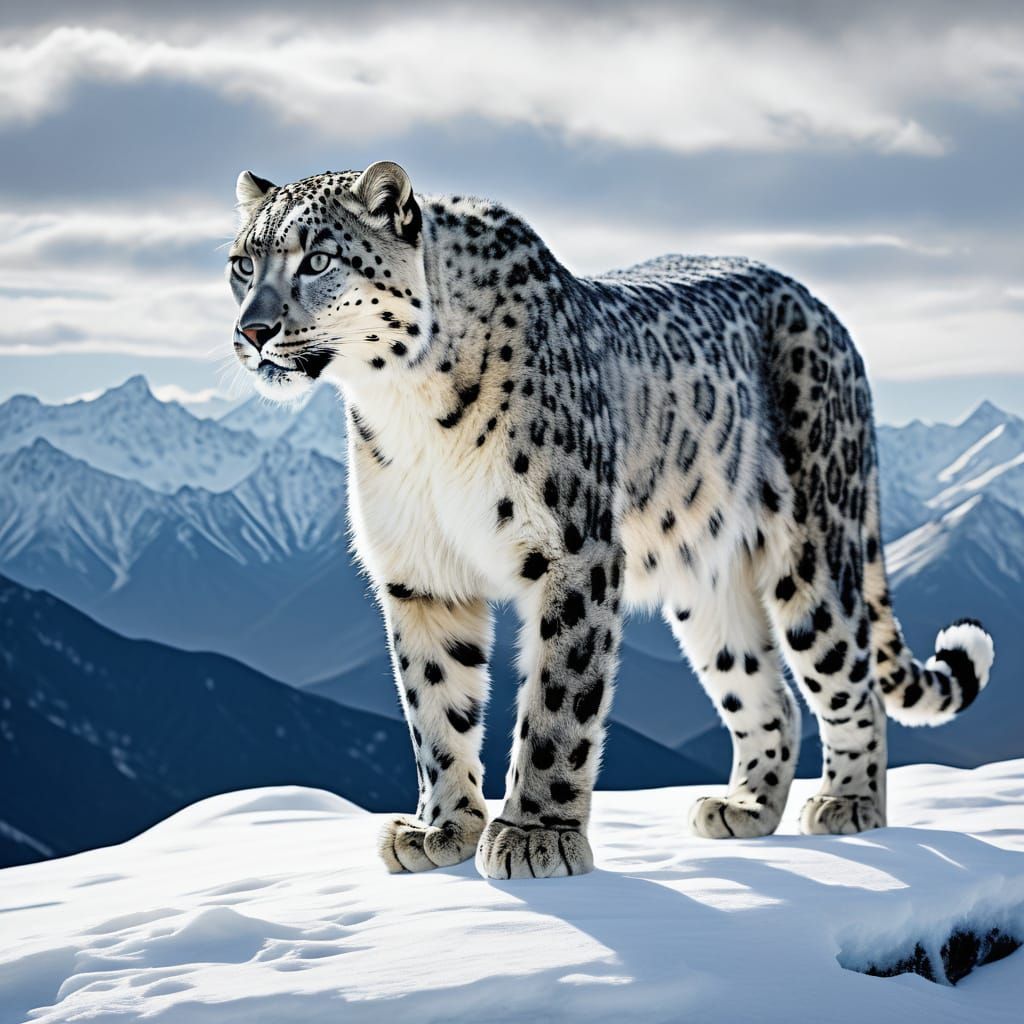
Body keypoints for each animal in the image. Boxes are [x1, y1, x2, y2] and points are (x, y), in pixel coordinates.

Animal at [226, 161, 995, 879]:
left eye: (317, 259)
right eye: (242, 263)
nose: (252, 331)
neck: (405, 406)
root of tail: (828, 315)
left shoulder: (572, 549)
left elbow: (557, 702)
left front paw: (534, 835)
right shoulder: (420, 572)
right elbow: (436, 704)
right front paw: (440, 828)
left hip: (813, 551)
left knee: (849, 679)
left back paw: (849, 802)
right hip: (707, 583)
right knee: (766, 693)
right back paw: (745, 807)